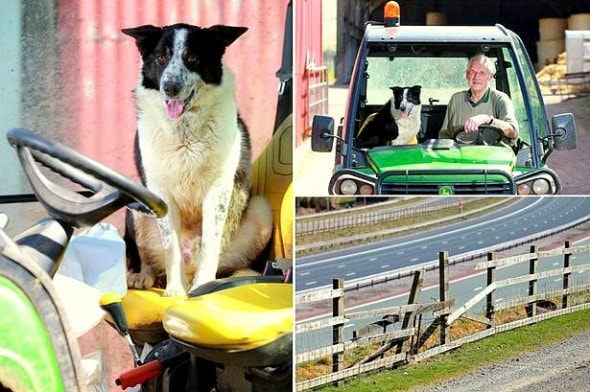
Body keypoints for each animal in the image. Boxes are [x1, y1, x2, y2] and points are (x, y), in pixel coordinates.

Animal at [124, 24, 276, 298]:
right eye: (161, 58)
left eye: (193, 58)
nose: (170, 88)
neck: (184, 132)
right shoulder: (159, 193)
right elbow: (171, 249)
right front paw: (175, 291)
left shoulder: (218, 191)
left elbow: (210, 244)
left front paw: (204, 287)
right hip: (136, 204)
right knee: (150, 259)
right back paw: (143, 277)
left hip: (261, 209)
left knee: (230, 264)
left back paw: (241, 277)